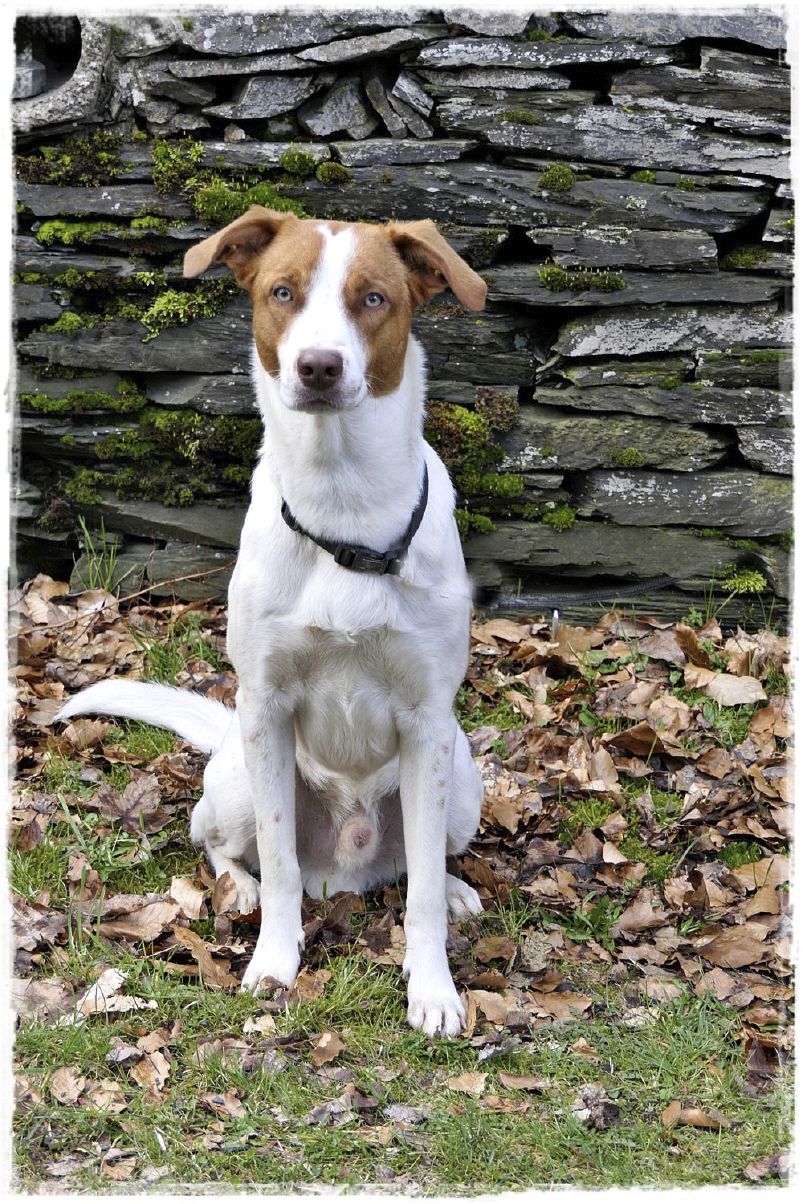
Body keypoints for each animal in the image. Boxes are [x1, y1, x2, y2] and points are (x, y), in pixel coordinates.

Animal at [55, 206, 488, 1036]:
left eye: (373, 297)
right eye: (282, 291)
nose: (317, 366)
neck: (341, 509)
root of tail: (347, 868)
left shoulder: (428, 723)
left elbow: (418, 893)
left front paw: (432, 987)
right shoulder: (265, 706)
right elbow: (279, 858)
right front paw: (274, 962)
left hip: (463, 778)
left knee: (420, 863)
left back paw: (452, 889)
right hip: (236, 773)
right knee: (218, 838)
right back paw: (241, 889)